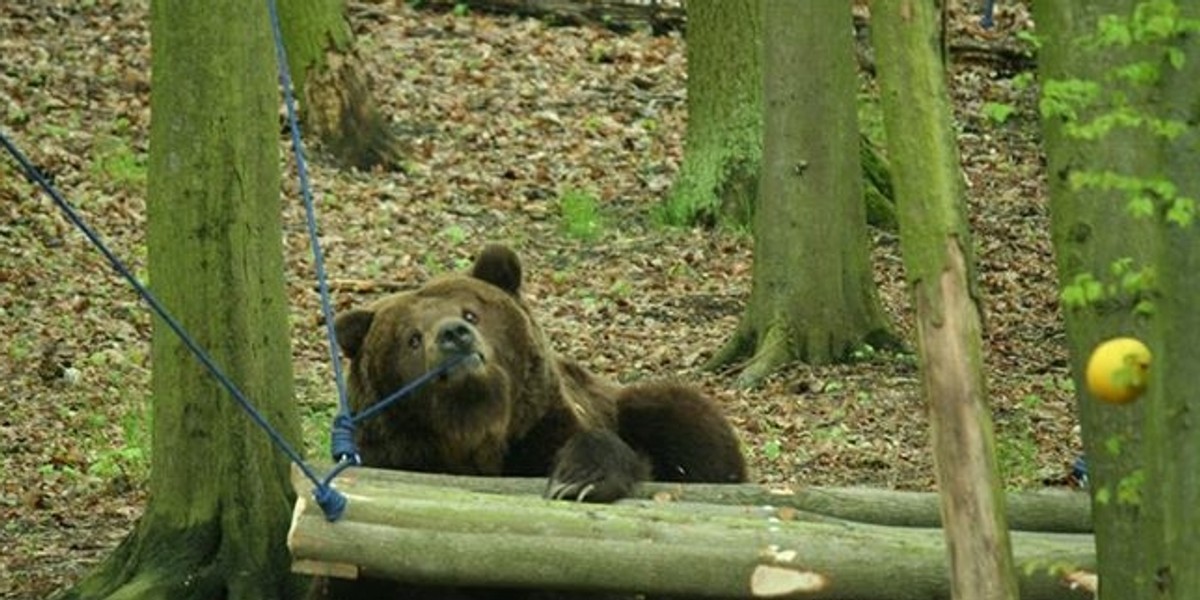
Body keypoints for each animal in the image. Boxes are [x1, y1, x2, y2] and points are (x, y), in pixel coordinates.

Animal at [316, 243, 748, 600]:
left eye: (471, 312)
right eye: (412, 338)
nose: (455, 334)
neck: (475, 433)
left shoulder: (540, 432)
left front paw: (578, 482)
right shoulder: (394, 462)